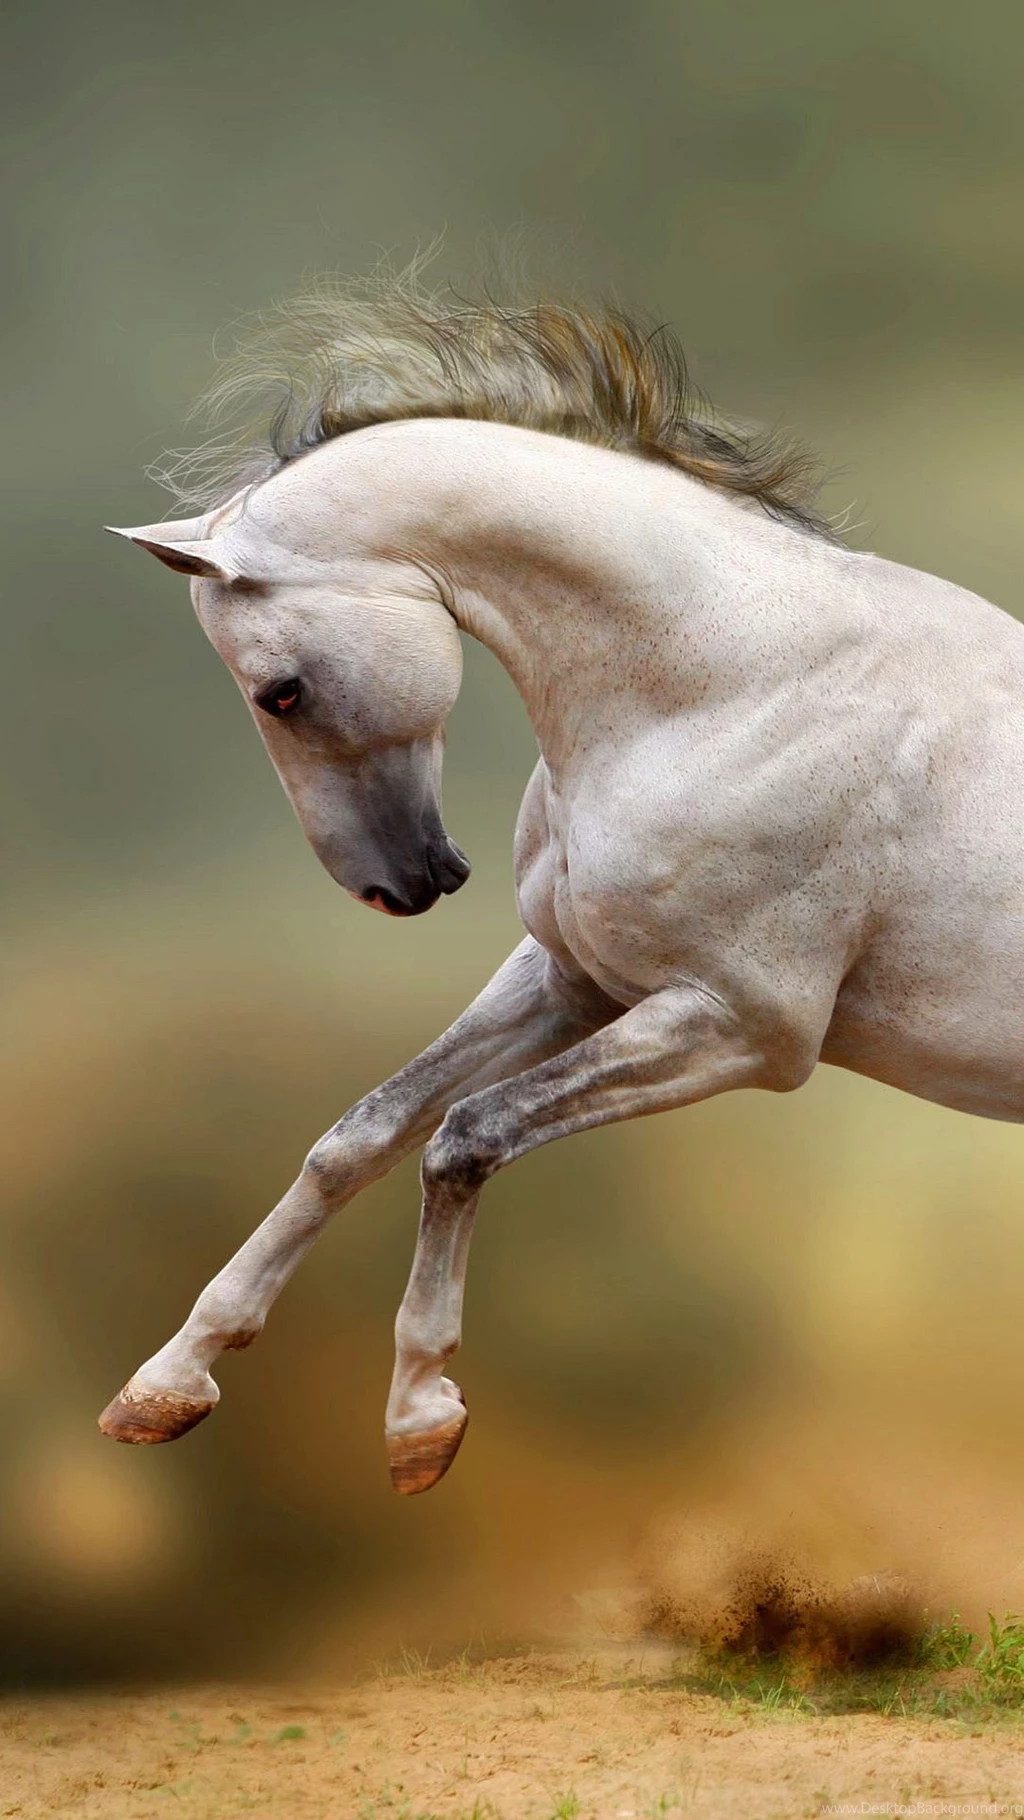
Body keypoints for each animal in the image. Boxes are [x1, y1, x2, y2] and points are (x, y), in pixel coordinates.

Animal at [101, 273, 1024, 1495]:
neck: (733, 684)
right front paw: (167, 1382)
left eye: (281, 692)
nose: (402, 883)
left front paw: (420, 1419)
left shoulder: (741, 1028)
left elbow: (464, 1137)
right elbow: (360, 1133)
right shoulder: (572, 980)